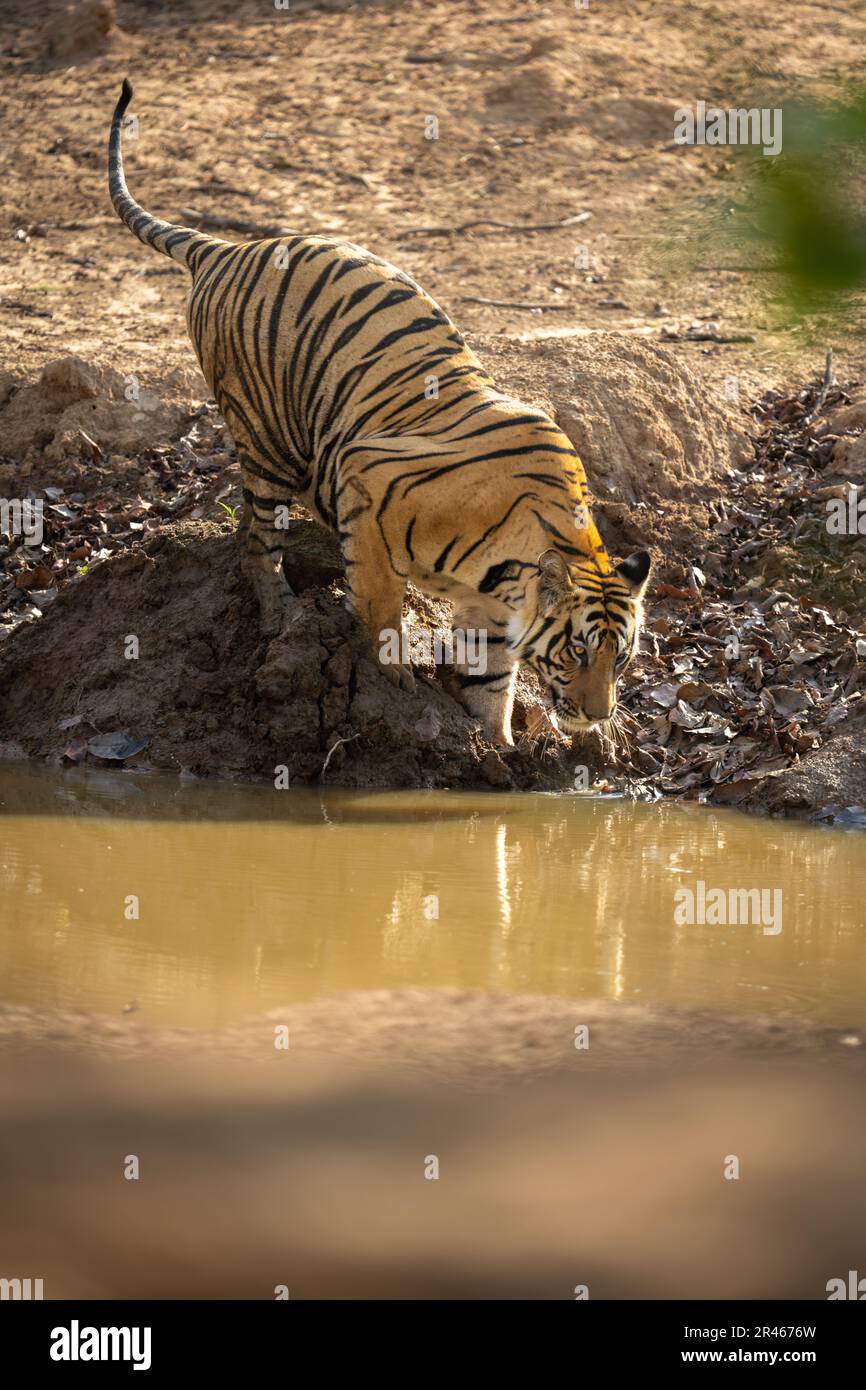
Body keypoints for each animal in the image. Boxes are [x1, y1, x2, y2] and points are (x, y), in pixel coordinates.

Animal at [108, 78, 650, 747]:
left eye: (620, 658)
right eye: (578, 653)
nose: (599, 715)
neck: (513, 565)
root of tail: (230, 247)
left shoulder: (492, 611)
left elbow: (489, 680)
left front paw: (495, 749)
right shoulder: (368, 476)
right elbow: (381, 596)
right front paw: (393, 679)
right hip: (267, 442)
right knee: (257, 542)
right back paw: (283, 611)